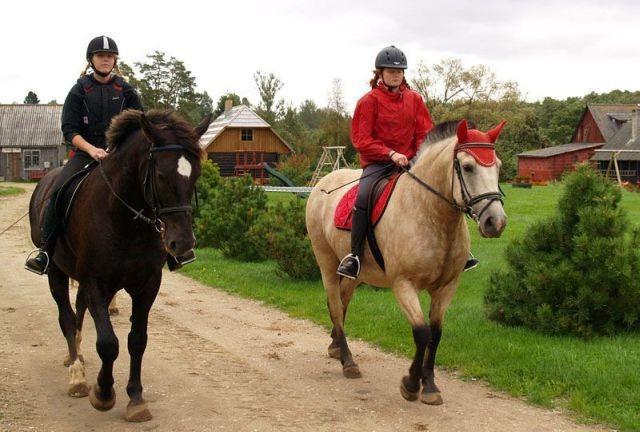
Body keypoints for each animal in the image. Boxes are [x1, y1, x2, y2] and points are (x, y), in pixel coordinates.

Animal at [28, 109, 212, 422]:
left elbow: (137, 340)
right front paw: (102, 393)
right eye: (160, 175)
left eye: (196, 174)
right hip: (56, 272)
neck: (125, 219)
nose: (183, 243)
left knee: (79, 311)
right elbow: (107, 343)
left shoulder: (147, 285)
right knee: (67, 317)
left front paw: (136, 399)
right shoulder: (95, 282)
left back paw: (77, 355)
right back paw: (77, 375)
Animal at [308, 119, 508, 404]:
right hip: (325, 261)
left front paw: (430, 385)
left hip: (355, 274)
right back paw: (348, 362)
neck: (429, 212)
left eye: (499, 166)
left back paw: (336, 345)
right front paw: (412, 384)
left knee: (342, 303)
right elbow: (422, 333)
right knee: (335, 306)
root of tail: (322, 183)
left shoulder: (446, 288)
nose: (496, 222)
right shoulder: (403, 285)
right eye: (468, 167)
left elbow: (436, 334)